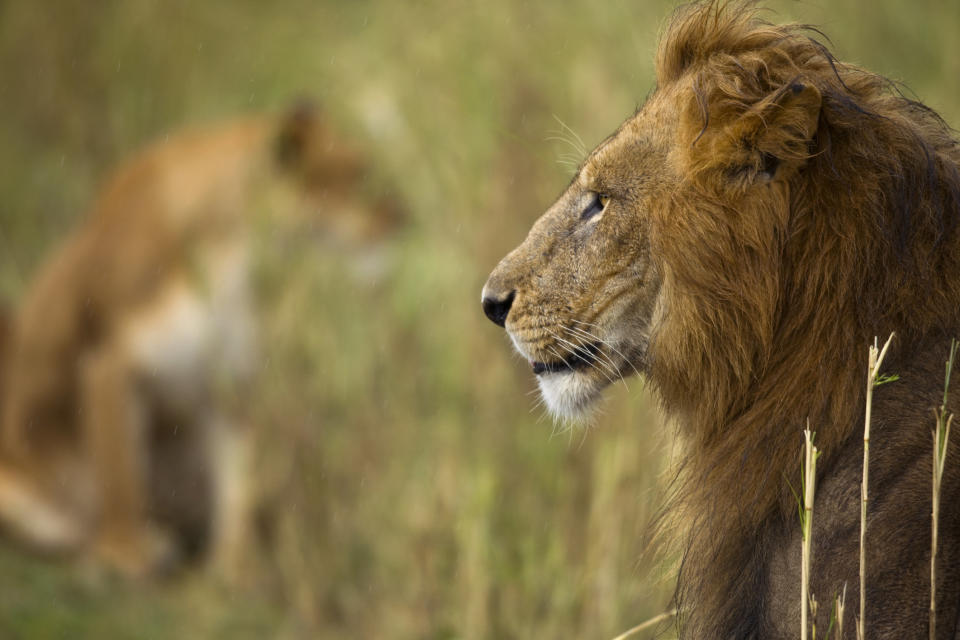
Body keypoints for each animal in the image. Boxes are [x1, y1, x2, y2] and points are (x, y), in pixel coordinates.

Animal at [0, 106, 402, 580]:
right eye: (358, 173)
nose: (400, 216)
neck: (236, 259)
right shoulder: (106, 357)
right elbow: (120, 473)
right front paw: (127, 556)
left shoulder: (230, 382)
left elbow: (238, 483)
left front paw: (237, 569)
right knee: (65, 533)